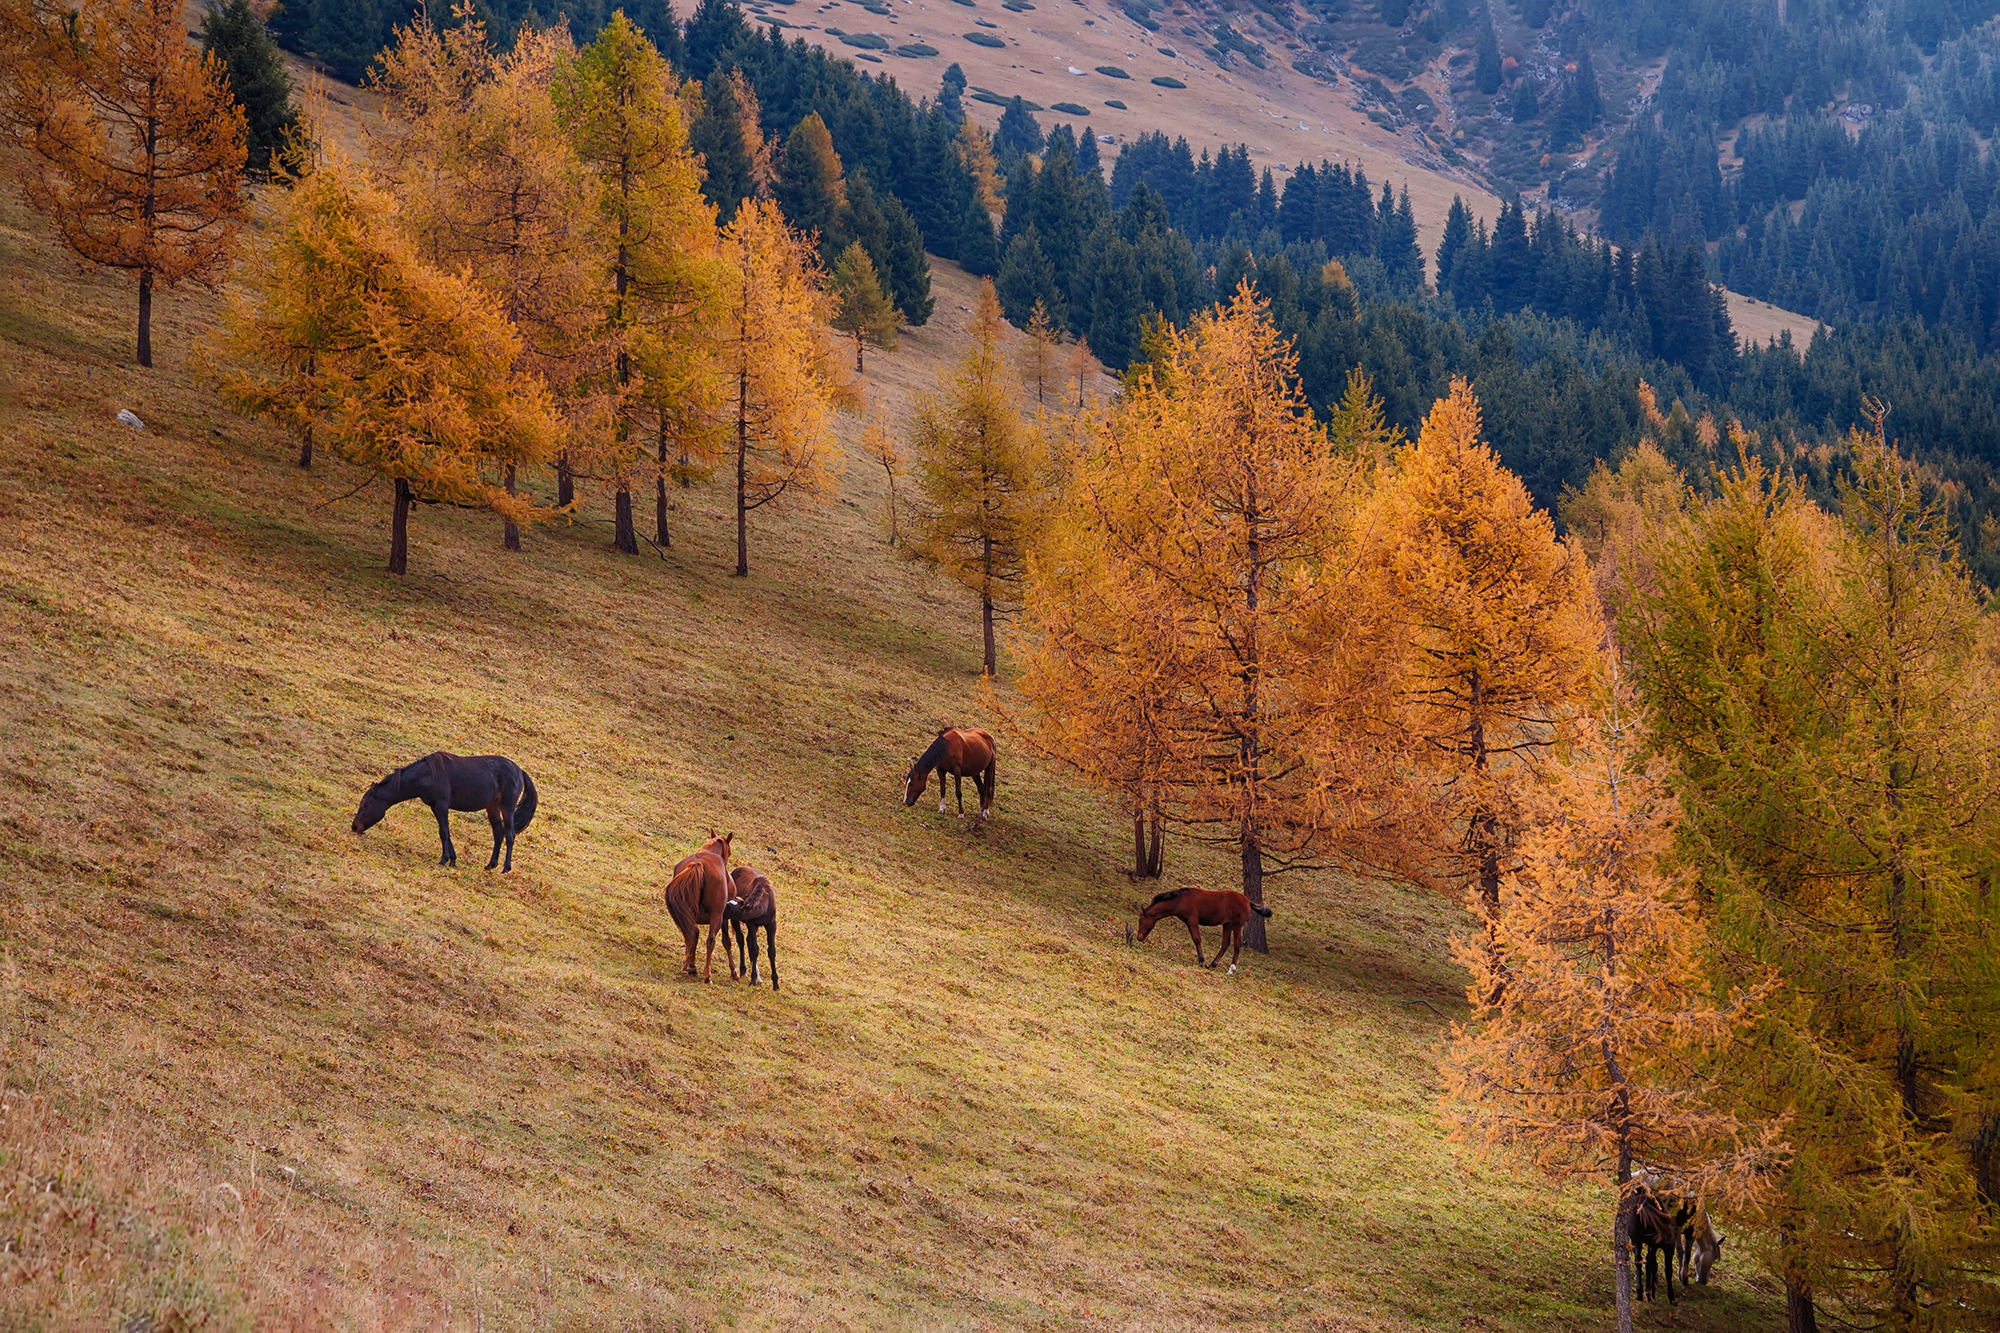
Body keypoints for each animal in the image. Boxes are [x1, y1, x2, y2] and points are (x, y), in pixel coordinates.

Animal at [352, 748, 536, 872]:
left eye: (366, 804)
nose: (355, 826)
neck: (427, 775)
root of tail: (520, 771)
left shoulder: (441, 805)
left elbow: (444, 833)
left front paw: (443, 860)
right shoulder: (435, 807)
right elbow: (445, 832)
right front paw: (452, 860)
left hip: (507, 807)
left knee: (509, 835)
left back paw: (506, 867)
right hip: (492, 807)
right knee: (498, 834)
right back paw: (490, 865)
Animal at [664, 832, 736, 976]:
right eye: (729, 853)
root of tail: (698, 863)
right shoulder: (724, 916)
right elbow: (726, 941)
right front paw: (734, 971)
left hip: (687, 914)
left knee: (691, 934)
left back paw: (690, 965)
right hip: (716, 915)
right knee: (710, 940)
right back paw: (707, 974)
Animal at [1136, 888, 1272, 972]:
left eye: (1141, 920)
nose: (1139, 937)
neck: (1180, 900)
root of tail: (1248, 901)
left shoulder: (1193, 920)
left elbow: (1197, 939)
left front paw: (1201, 961)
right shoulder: (1188, 922)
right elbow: (1195, 939)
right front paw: (1202, 961)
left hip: (1236, 925)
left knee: (1237, 945)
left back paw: (1231, 969)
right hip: (1227, 924)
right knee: (1225, 944)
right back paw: (1213, 964)